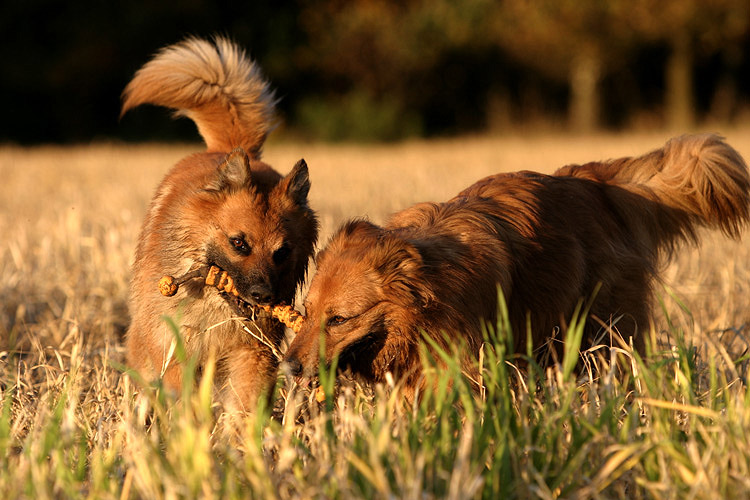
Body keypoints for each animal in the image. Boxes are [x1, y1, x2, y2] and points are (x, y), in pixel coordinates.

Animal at [125, 37, 318, 412]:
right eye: (239, 243)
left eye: (282, 252)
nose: (263, 295)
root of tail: (231, 148)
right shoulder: (174, 347)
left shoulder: (251, 352)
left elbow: (245, 406)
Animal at [284, 135, 750, 400]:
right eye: (306, 313)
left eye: (339, 319)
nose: (288, 368)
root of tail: (596, 182)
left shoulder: (464, 366)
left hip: (604, 331)